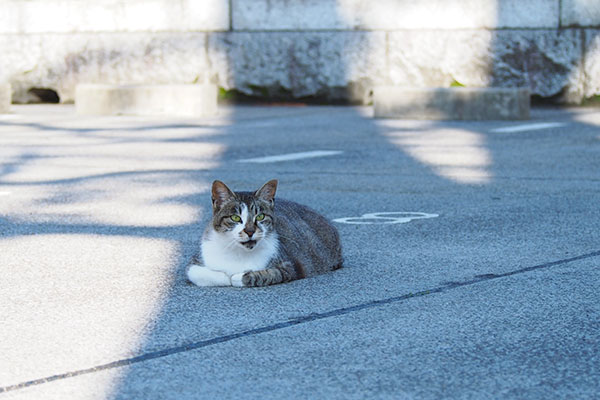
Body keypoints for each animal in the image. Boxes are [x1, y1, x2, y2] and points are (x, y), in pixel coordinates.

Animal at [185, 179, 342, 288]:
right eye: (235, 218)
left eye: (260, 216)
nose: (250, 231)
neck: (239, 252)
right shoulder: (194, 263)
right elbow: (203, 274)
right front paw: (227, 276)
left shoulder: (290, 267)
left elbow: (265, 274)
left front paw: (239, 276)